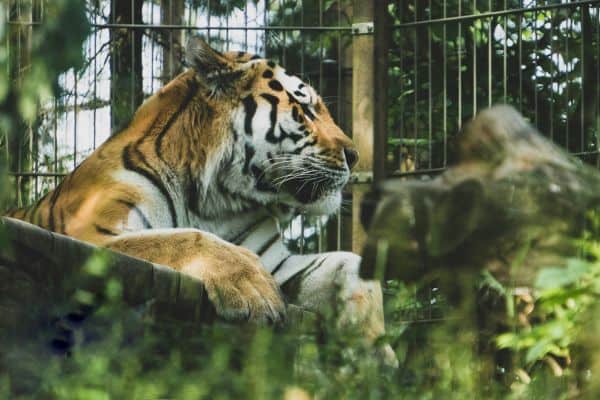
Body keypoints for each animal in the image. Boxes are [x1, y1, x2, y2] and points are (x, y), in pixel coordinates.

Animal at [5, 36, 398, 366]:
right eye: (305, 110)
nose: (355, 155)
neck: (213, 198)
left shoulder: (278, 263)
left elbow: (353, 263)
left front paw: (376, 352)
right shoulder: (89, 232)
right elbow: (184, 238)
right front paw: (253, 289)